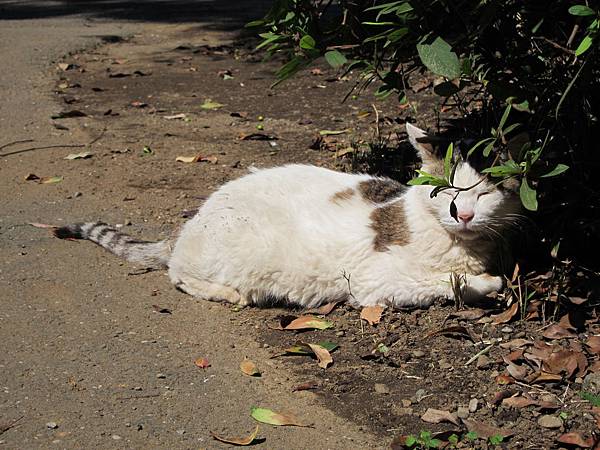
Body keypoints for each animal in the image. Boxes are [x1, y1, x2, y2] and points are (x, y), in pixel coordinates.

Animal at [55, 122, 520, 310]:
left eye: (484, 193)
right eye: (448, 193)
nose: (464, 214)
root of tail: (193, 219)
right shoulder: (376, 283)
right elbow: (452, 282)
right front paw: (487, 282)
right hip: (246, 251)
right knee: (178, 273)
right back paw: (228, 294)